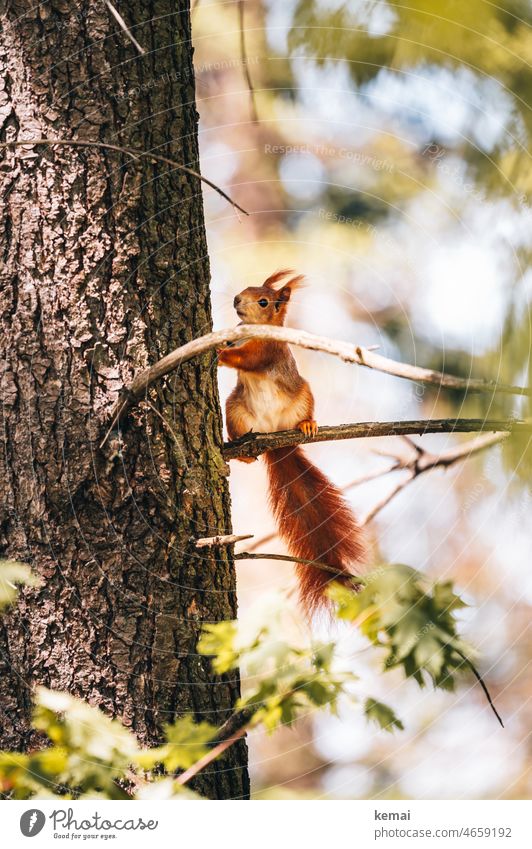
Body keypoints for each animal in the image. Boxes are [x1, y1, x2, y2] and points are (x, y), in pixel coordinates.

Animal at [218, 268, 364, 612]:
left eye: (264, 301)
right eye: (245, 289)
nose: (236, 299)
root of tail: (276, 441)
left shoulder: (268, 351)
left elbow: (249, 359)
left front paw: (220, 353)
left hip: (303, 394)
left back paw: (308, 424)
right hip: (235, 408)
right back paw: (242, 451)